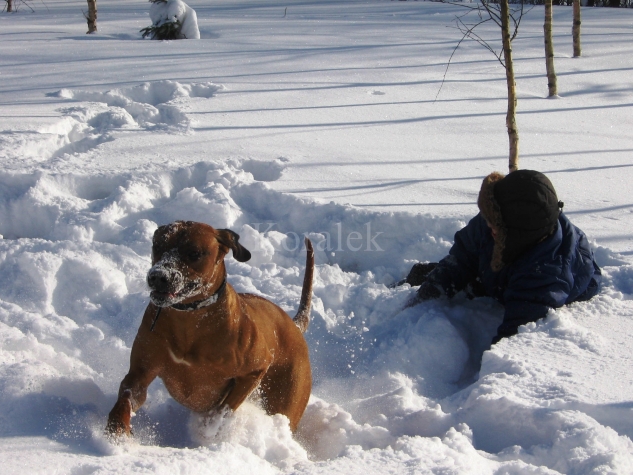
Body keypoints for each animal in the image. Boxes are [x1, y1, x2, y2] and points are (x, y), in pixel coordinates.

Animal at [106, 221, 314, 436]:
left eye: (194, 253)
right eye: (157, 246)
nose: (158, 276)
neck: (189, 318)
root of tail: (294, 324)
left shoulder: (255, 369)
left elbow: (225, 408)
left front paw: (209, 427)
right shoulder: (141, 371)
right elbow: (127, 397)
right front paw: (118, 430)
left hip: (286, 399)